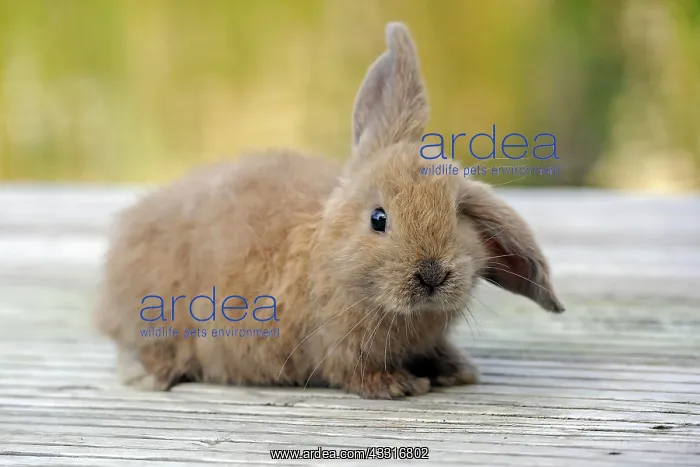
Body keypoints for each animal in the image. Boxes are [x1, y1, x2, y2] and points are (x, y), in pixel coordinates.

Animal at [92, 22, 565, 400]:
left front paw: (457, 371)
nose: (432, 274)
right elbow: (355, 373)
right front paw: (400, 385)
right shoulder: (336, 347)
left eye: (457, 214)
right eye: (379, 219)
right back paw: (149, 375)